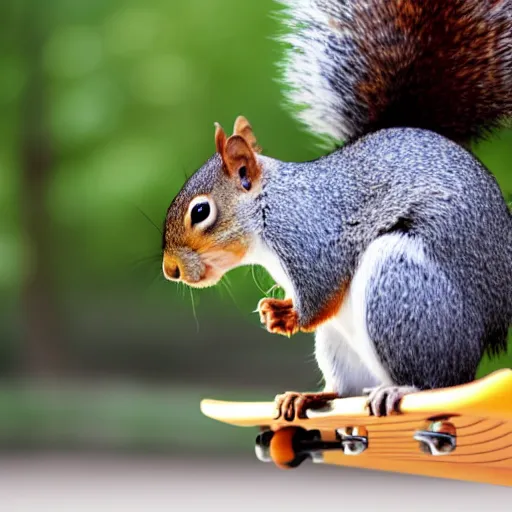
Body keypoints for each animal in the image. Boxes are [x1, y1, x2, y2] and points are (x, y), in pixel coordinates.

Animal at [162, 1, 512, 420]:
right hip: (340, 346)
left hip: (404, 292)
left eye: (201, 212)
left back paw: (402, 389)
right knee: (347, 391)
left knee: (438, 382)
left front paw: (288, 316)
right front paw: (276, 309)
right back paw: (311, 397)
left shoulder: (315, 240)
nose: (170, 269)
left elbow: (321, 295)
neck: (270, 208)